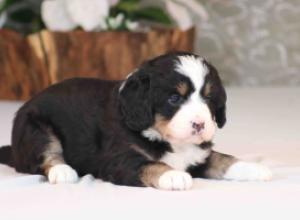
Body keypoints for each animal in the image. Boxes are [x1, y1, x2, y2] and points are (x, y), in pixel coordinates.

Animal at [0, 52, 272, 190]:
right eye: (174, 98)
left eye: (208, 98)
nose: (199, 125)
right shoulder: (120, 159)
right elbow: (150, 164)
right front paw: (173, 176)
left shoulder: (198, 155)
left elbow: (222, 159)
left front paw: (254, 168)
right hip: (36, 128)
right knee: (44, 156)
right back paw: (63, 171)